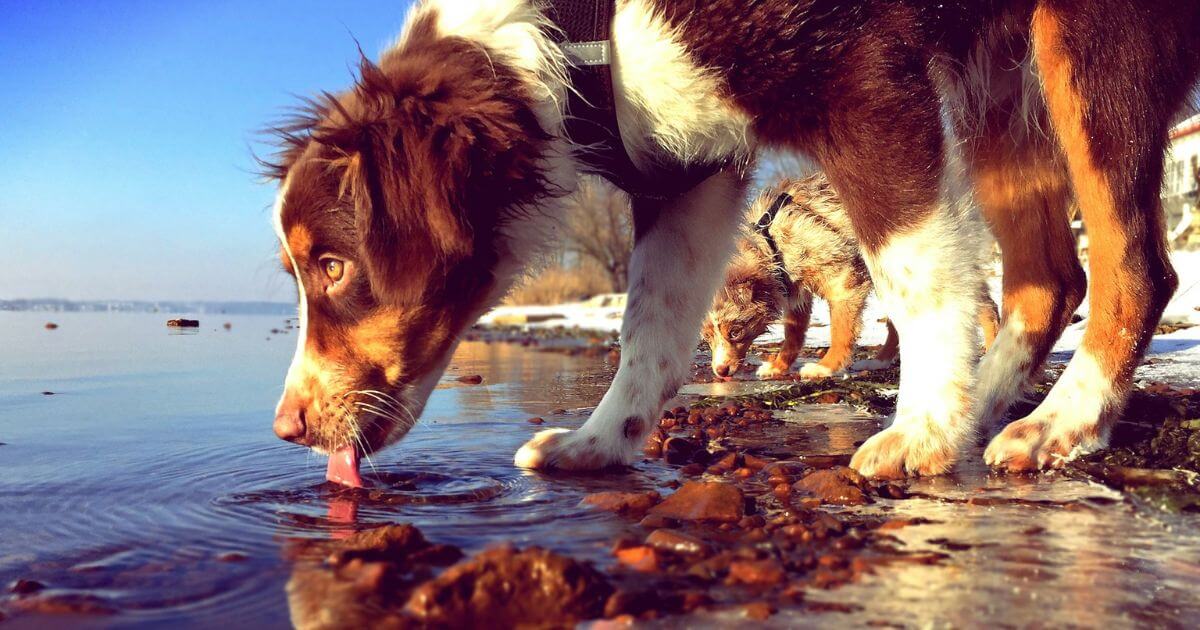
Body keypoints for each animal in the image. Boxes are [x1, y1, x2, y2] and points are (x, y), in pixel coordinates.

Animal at [700, 171, 1003, 379]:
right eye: (706, 338)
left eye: (736, 331)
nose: (720, 371)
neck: (769, 240)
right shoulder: (796, 290)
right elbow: (793, 335)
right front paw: (778, 366)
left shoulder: (843, 282)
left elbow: (841, 332)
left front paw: (825, 367)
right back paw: (880, 360)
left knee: (987, 306)